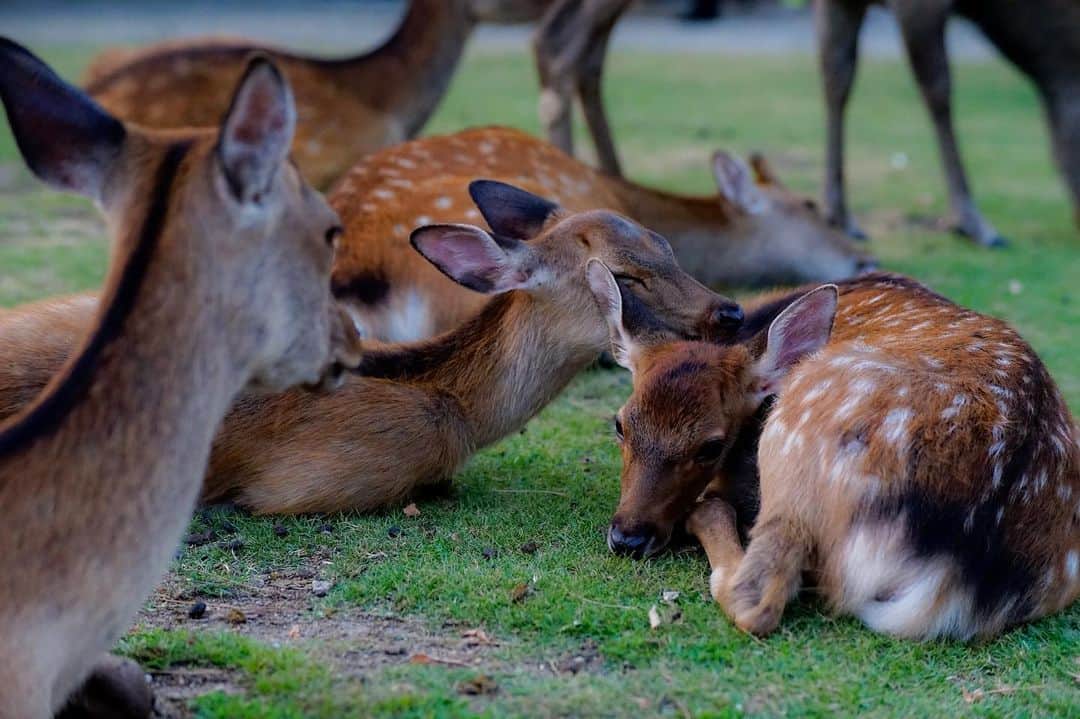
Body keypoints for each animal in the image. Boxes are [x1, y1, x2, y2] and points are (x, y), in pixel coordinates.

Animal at [589, 268, 1080, 639]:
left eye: (712, 445)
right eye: (620, 424)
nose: (628, 537)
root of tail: (958, 569)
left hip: (796, 432)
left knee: (757, 598)